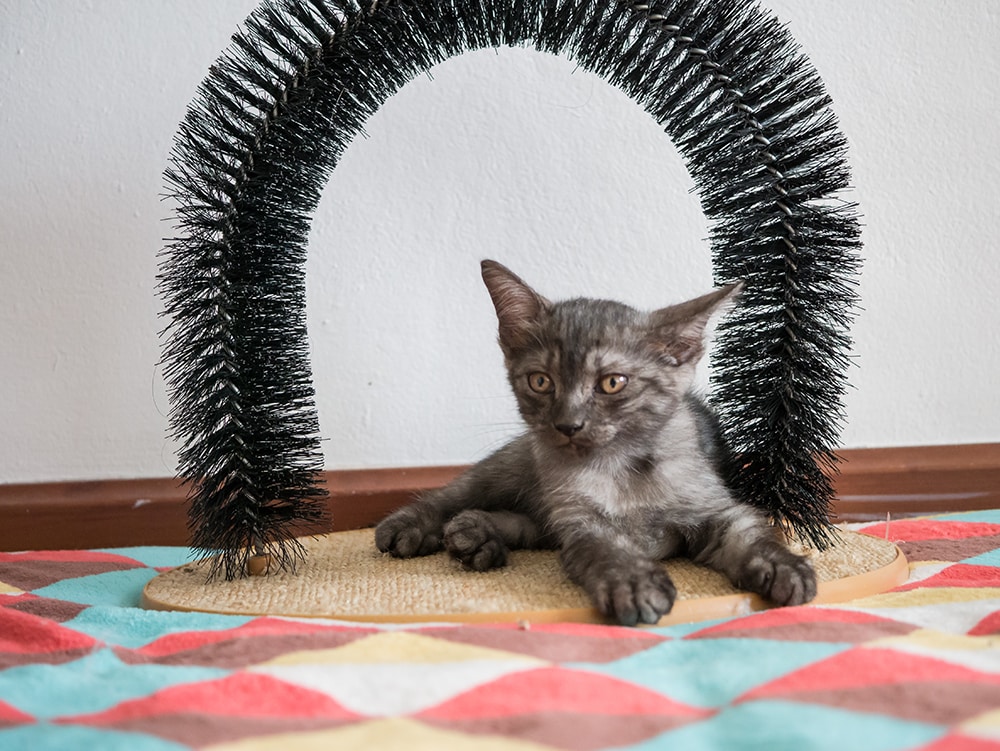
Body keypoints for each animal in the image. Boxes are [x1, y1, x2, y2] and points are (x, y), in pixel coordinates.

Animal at [378, 262, 816, 624]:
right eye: (541, 381)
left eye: (612, 383)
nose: (568, 424)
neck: (623, 468)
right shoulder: (582, 520)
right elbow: (609, 549)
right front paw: (635, 584)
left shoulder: (714, 509)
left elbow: (749, 533)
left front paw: (784, 566)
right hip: (512, 468)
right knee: (454, 496)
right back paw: (414, 527)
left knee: (528, 524)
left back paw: (477, 535)